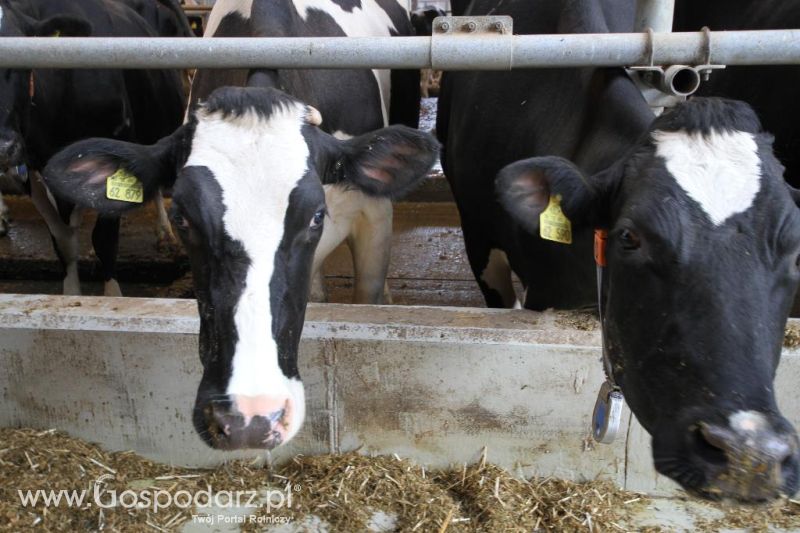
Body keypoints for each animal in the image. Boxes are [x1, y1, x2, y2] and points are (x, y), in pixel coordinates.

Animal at [0, 0, 188, 290]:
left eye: (23, 61)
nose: (3, 147)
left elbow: (105, 240)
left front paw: (112, 294)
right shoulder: (29, 166)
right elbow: (63, 241)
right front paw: (72, 292)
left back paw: (165, 235)